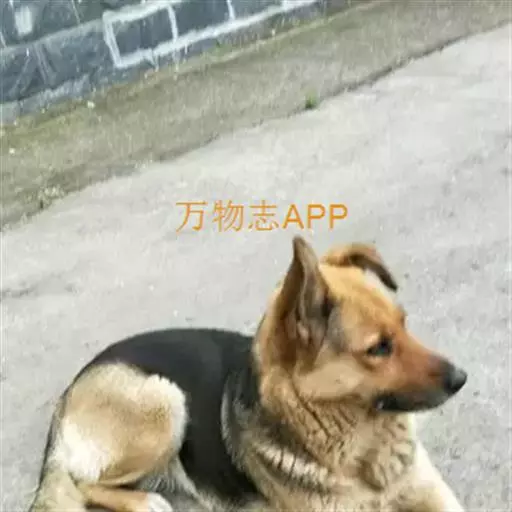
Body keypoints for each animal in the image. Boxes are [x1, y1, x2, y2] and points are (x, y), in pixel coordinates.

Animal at [28, 236, 467, 512]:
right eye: (378, 348)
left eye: (404, 324)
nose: (462, 378)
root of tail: (72, 389)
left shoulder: (430, 491)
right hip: (165, 403)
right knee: (79, 480)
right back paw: (143, 502)